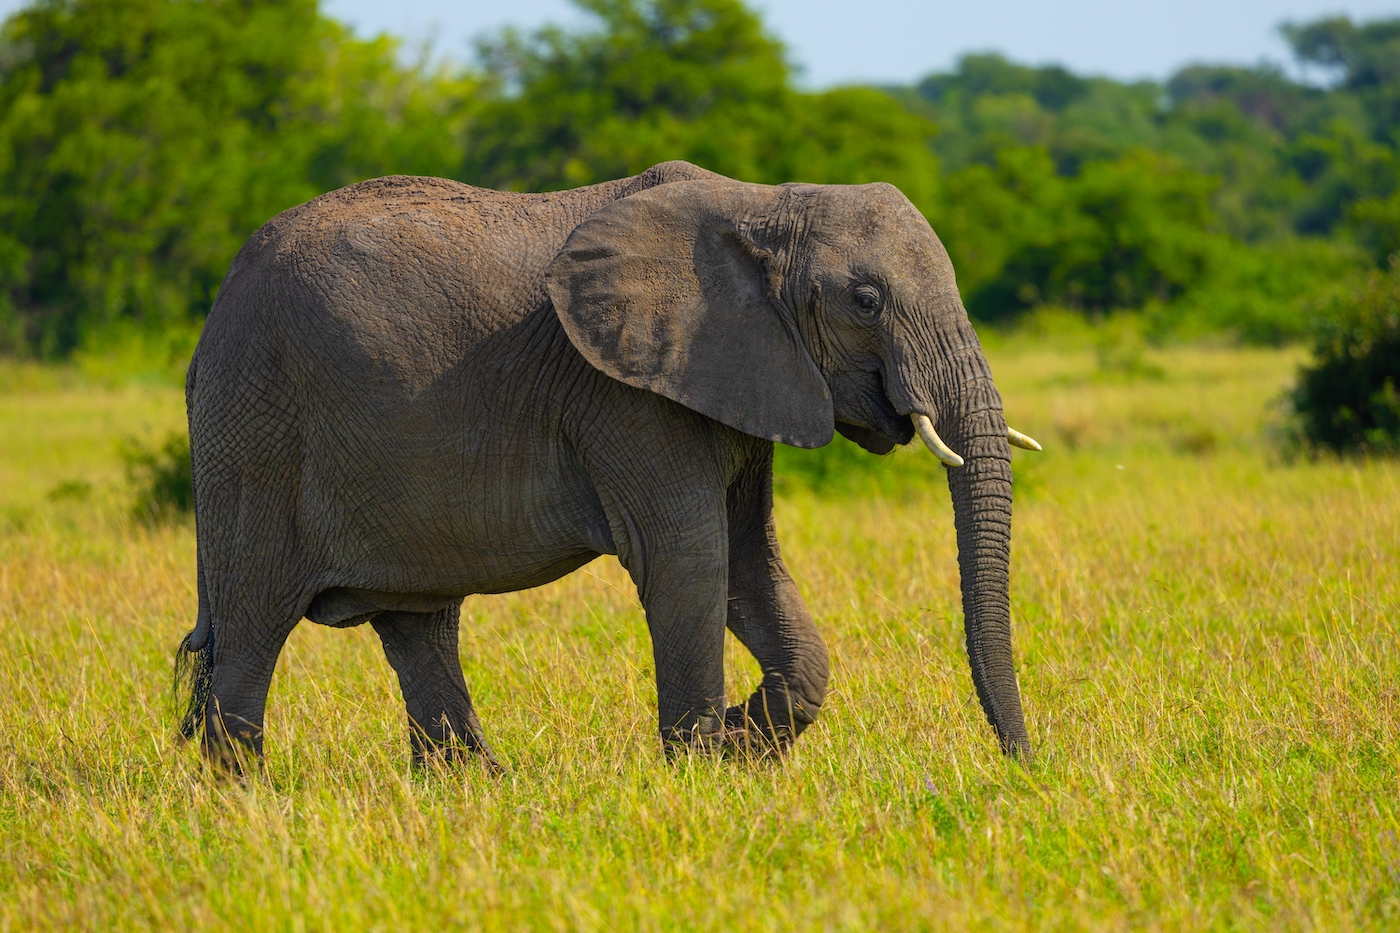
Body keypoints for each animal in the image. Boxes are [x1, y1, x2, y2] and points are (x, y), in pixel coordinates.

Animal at [173, 159, 1041, 769]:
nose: (1024, 766)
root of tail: (206, 328)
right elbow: (690, 558)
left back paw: (478, 786)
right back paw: (243, 798)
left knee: (417, 622)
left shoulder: (740, 374)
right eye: (866, 301)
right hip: (256, 432)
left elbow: (748, 560)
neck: (764, 203)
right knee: (252, 625)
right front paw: (704, 766)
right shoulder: (628, 393)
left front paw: (740, 744)